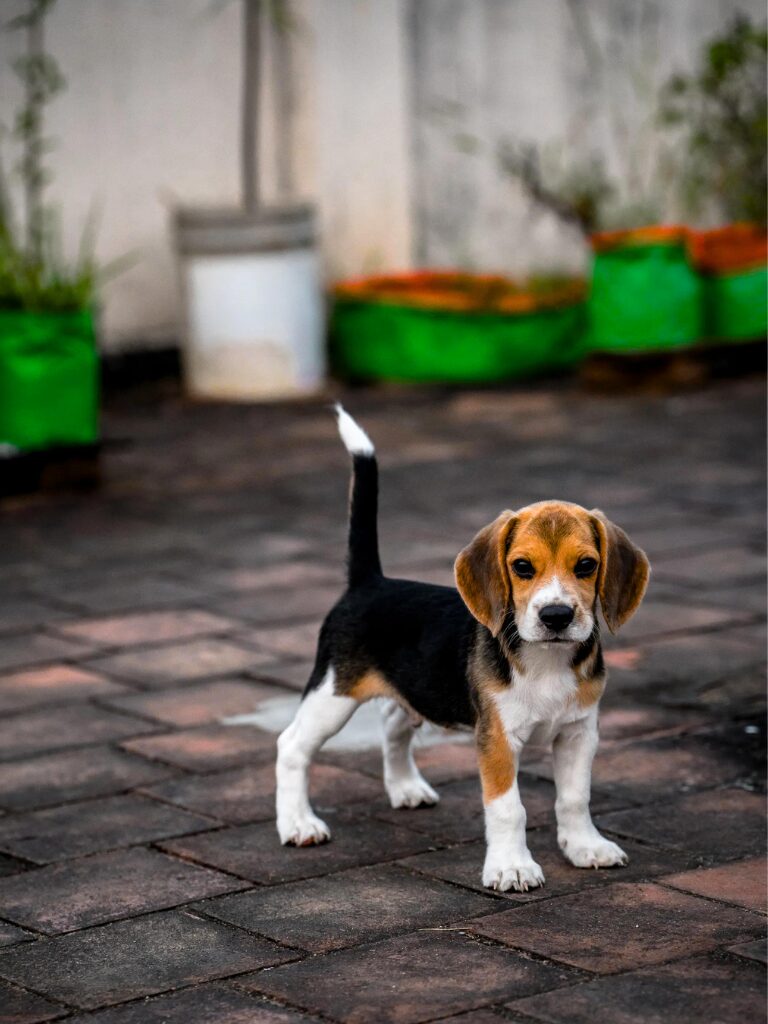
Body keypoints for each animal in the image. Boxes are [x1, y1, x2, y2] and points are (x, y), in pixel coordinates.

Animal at [276, 405, 651, 888]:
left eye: (586, 565)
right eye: (522, 567)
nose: (556, 616)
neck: (544, 659)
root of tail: (369, 581)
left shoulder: (578, 732)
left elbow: (575, 798)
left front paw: (585, 846)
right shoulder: (497, 739)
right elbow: (509, 808)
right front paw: (512, 866)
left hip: (410, 688)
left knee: (393, 722)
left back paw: (405, 788)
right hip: (332, 694)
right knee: (292, 747)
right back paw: (298, 824)